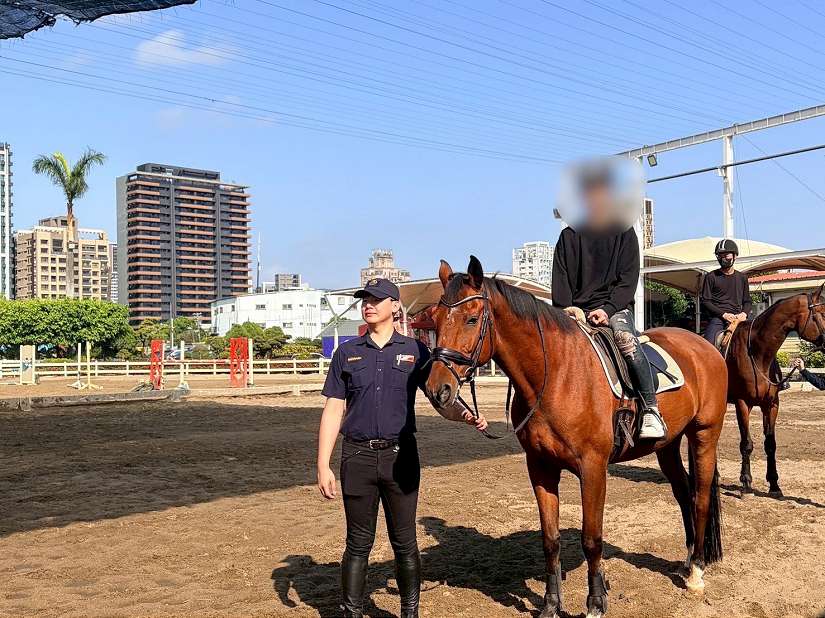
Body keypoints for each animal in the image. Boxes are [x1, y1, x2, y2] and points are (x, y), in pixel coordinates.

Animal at [424, 256, 727, 618]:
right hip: (667, 445)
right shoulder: (540, 468)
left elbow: (591, 538)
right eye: (435, 320)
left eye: (471, 319)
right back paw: (687, 560)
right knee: (683, 493)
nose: (436, 390)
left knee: (701, 496)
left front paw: (596, 602)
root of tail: (703, 346)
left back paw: (696, 571)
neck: (556, 374)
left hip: (704, 434)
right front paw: (551, 604)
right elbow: (550, 539)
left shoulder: (593, 468)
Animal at [724, 285, 825, 496]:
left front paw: (774, 484)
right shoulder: (742, 404)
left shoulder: (771, 405)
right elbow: (746, 444)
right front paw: (746, 483)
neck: (757, 354)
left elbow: (770, 444)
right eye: (821, 314)